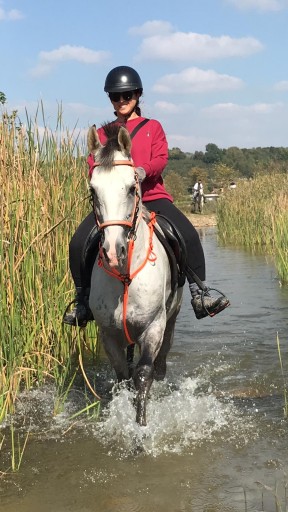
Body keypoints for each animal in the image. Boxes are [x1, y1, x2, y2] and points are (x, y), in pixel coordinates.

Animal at [87, 122, 184, 426]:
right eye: (93, 191)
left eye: (131, 188)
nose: (112, 251)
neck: (125, 276)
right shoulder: (108, 334)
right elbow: (123, 376)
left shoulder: (153, 327)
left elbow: (142, 376)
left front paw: (140, 428)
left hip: (170, 319)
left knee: (160, 365)